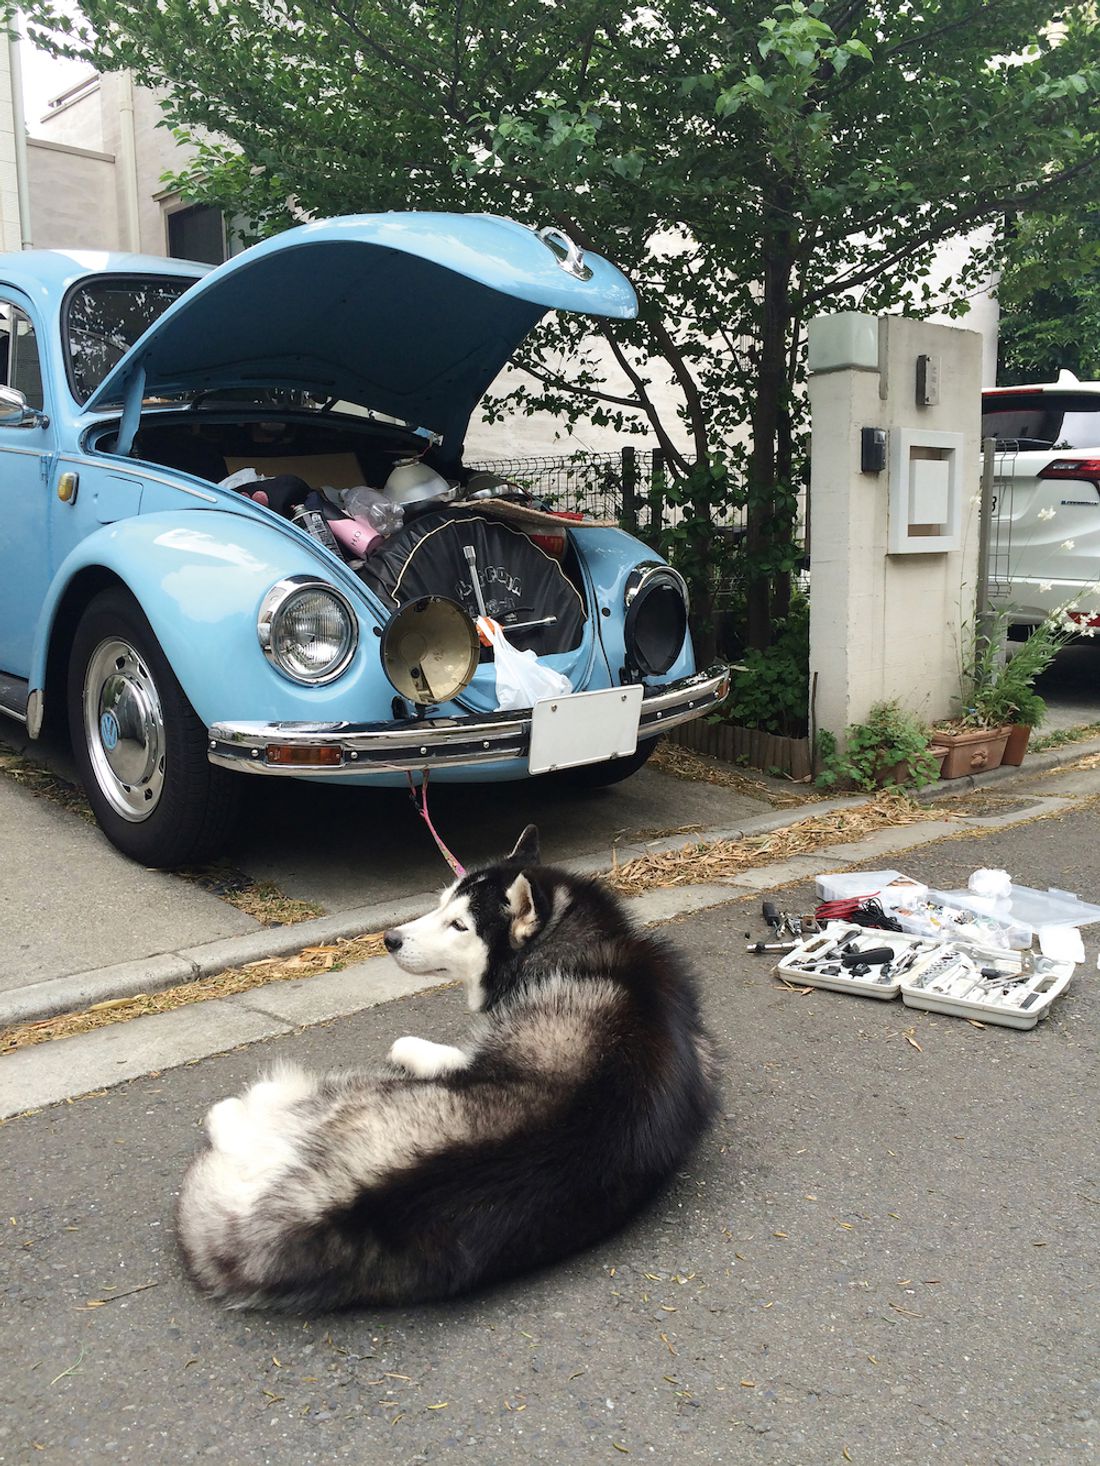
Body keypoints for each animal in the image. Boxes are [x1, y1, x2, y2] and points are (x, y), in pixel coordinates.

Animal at [176, 820, 718, 1313]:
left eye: (460, 926)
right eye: (439, 904)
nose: (390, 939)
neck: (584, 947)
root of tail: (325, 1211)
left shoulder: (479, 1047)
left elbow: (426, 1047)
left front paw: (405, 1045)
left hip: (337, 1098)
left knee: (230, 1119)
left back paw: (230, 1111)